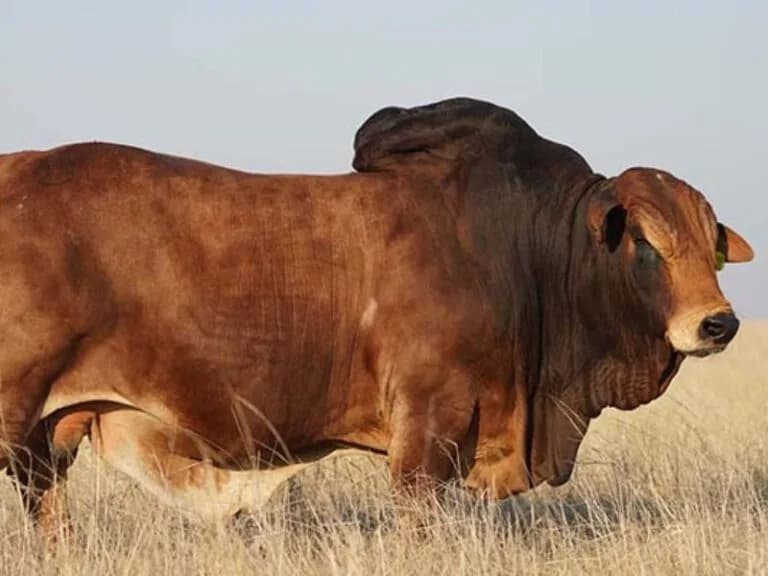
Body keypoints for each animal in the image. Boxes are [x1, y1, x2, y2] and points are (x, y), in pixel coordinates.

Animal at [0, 98, 753, 536]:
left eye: (711, 242)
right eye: (645, 242)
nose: (717, 324)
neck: (528, 251)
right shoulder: (427, 428)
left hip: (46, 443)